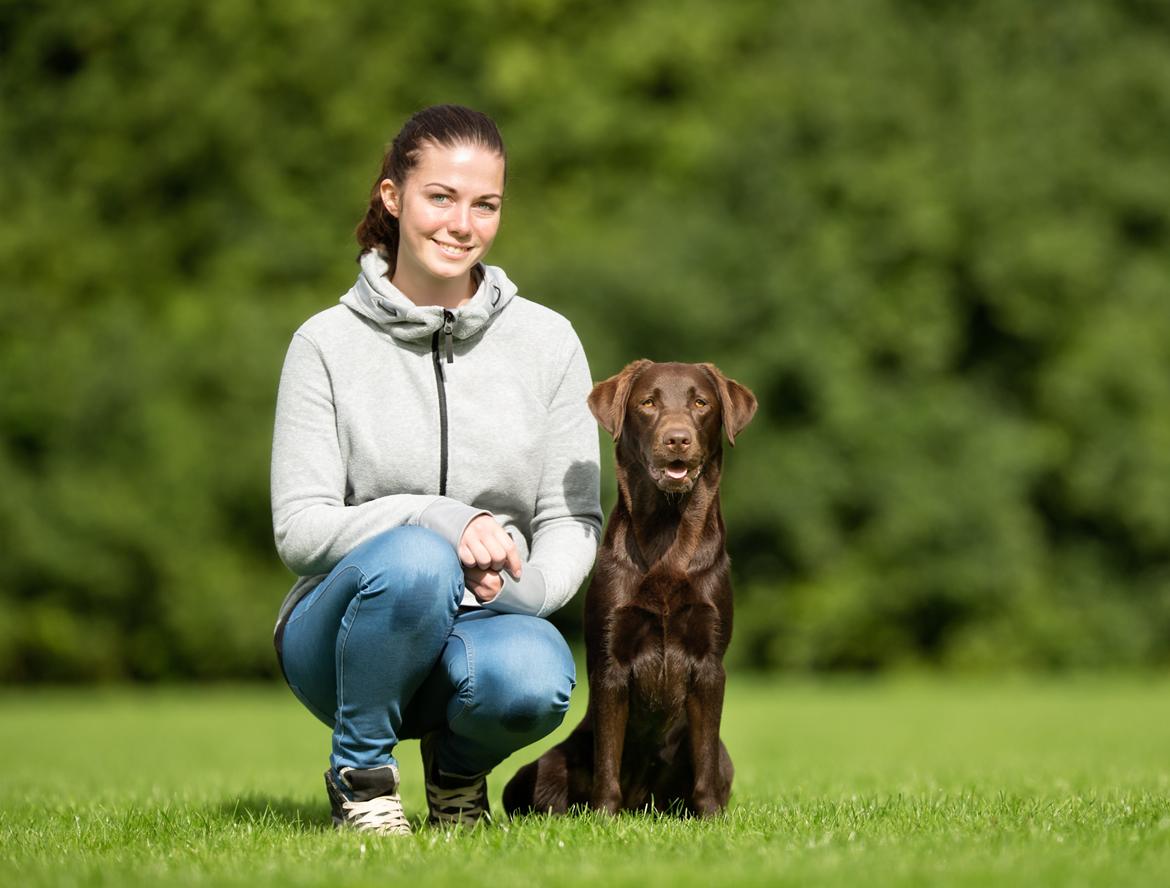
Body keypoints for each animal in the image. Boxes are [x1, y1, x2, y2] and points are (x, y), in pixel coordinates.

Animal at [503, 360, 758, 818]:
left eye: (700, 403)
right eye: (648, 403)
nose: (677, 438)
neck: (667, 533)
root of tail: (643, 804)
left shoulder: (710, 661)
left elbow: (706, 759)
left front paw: (712, 817)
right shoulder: (611, 661)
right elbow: (608, 755)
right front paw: (604, 816)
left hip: (721, 759)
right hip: (542, 767)